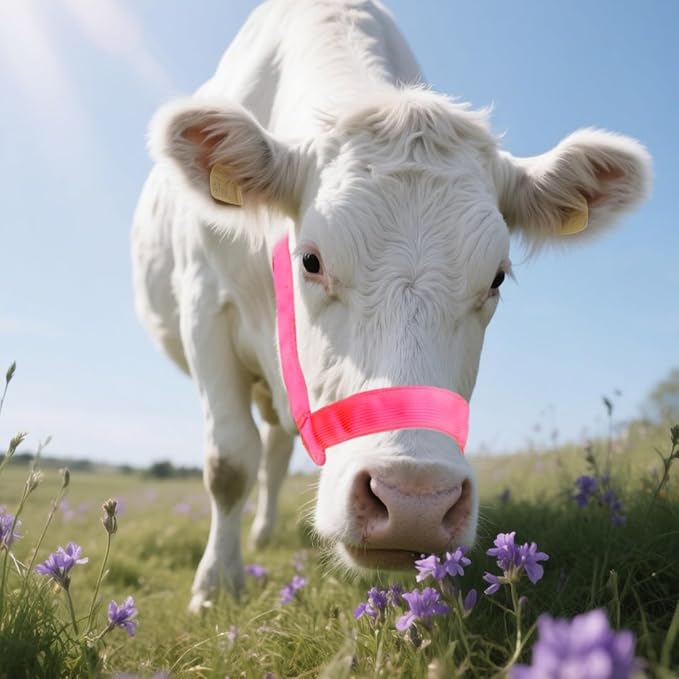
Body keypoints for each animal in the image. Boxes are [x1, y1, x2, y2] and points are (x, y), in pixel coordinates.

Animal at [132, 0, 651, 612]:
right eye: (311, 260)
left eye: (496, 277)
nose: (414, 501)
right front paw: (216, 586)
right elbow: (230, 460)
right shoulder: (205, 307)